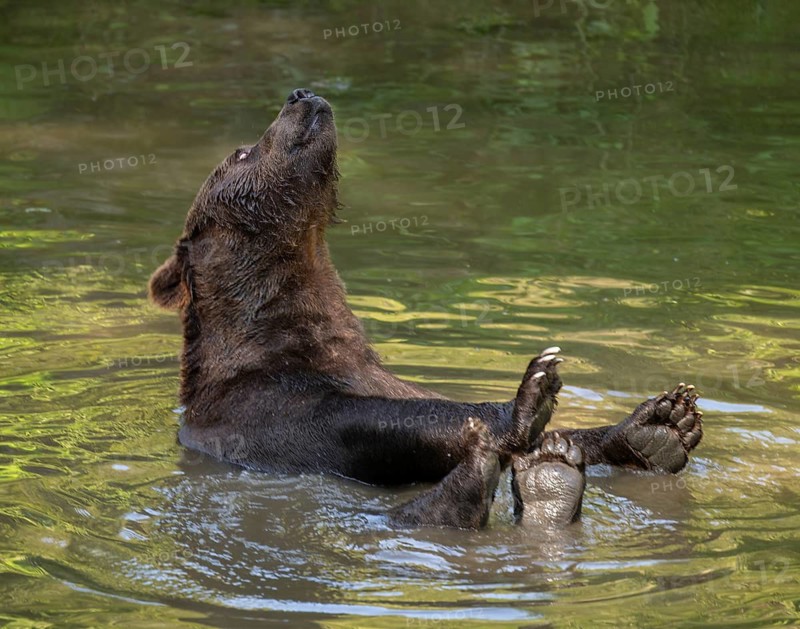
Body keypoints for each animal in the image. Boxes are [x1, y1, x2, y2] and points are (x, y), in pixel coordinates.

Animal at [148, 88, 703, 529]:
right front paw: (526, 400)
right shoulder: (265, 411)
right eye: (242, 152)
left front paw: (662, 421)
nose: (301, 94)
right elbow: (372, 421)